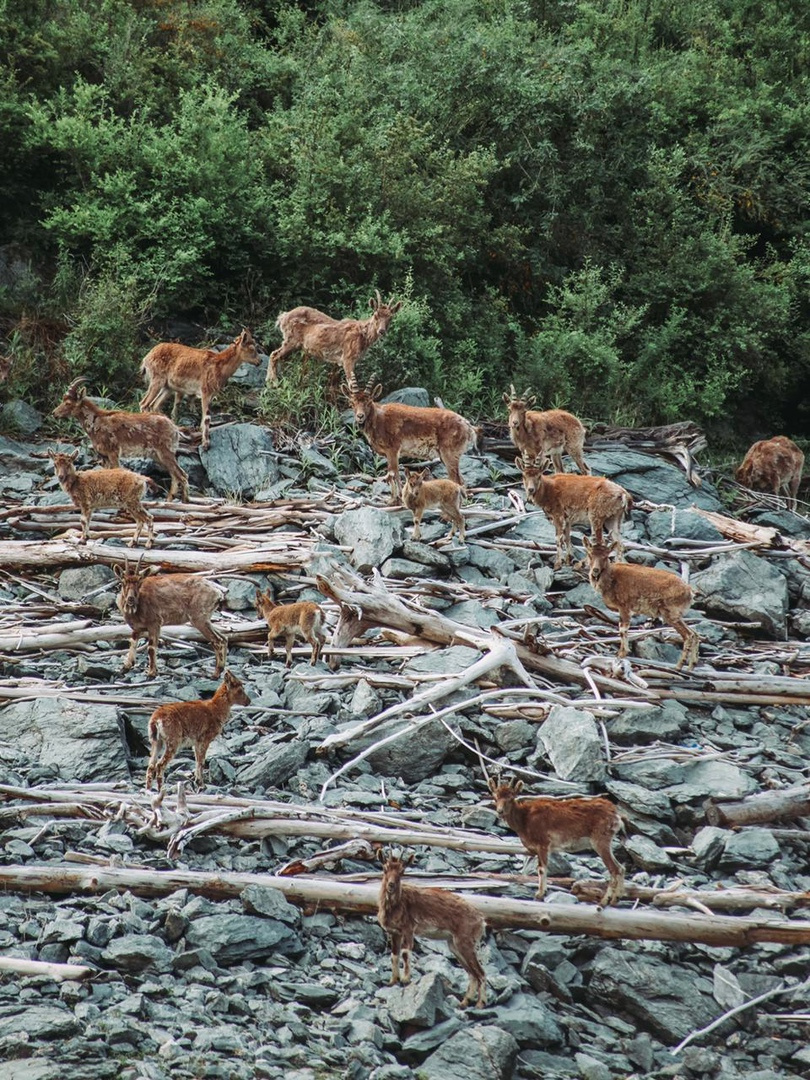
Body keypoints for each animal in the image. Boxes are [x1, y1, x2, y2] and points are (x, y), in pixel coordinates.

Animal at [53, 380, 190, 501]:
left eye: (68, 403)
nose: (54, 413)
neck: (96, 422)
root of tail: (175, 428)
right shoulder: (104, 456)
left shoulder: (113, 452)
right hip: (158, 456)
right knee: (175, 476)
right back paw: (170, 500)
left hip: (166, 452)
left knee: (182, 475)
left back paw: (185, 500)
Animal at [267, 289, 403, 386]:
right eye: (376, 315)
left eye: (390, 318)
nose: (382, 331)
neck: (363, 336)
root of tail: (282, 317)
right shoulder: (347, 357)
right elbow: (352, 385)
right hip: (291, 339)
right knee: (274, 354)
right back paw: (273, 382)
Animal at [378, 846, 486, 1006]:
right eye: (385, 868)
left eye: (402, 871)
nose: (391, 885)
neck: (397, 905)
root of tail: (481, 920)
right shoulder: (395, 932)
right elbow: (394, 956)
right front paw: (392, 981)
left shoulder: (408, 929)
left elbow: (405, 953)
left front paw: (405, 979)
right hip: (454, 945)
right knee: (472, 973)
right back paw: (464, 1003)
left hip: (466, 942)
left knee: (480, 972)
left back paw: (480, 1004)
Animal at [488, 777, 626, 902]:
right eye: (495, 797)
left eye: (511, 798)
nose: (500, 811)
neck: (525, 820)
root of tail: (616, 815)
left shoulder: (543, 843)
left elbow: (542, 868)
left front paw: (540, 894)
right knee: (621, 868)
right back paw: (616, 898)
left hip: (600, 840)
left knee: (614, 869)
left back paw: (605, 901)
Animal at [583, 535, 704, 669]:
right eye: (589, 554)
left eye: (606, 556)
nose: (595, 570)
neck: (611, 578)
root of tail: (689, 591)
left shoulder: (624, 607)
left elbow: (623, 629)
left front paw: (622, 654)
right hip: (676, 616)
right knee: (695, 634)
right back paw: (691, 666)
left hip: (671, 614)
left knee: (688, 635)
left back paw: (679, 666)